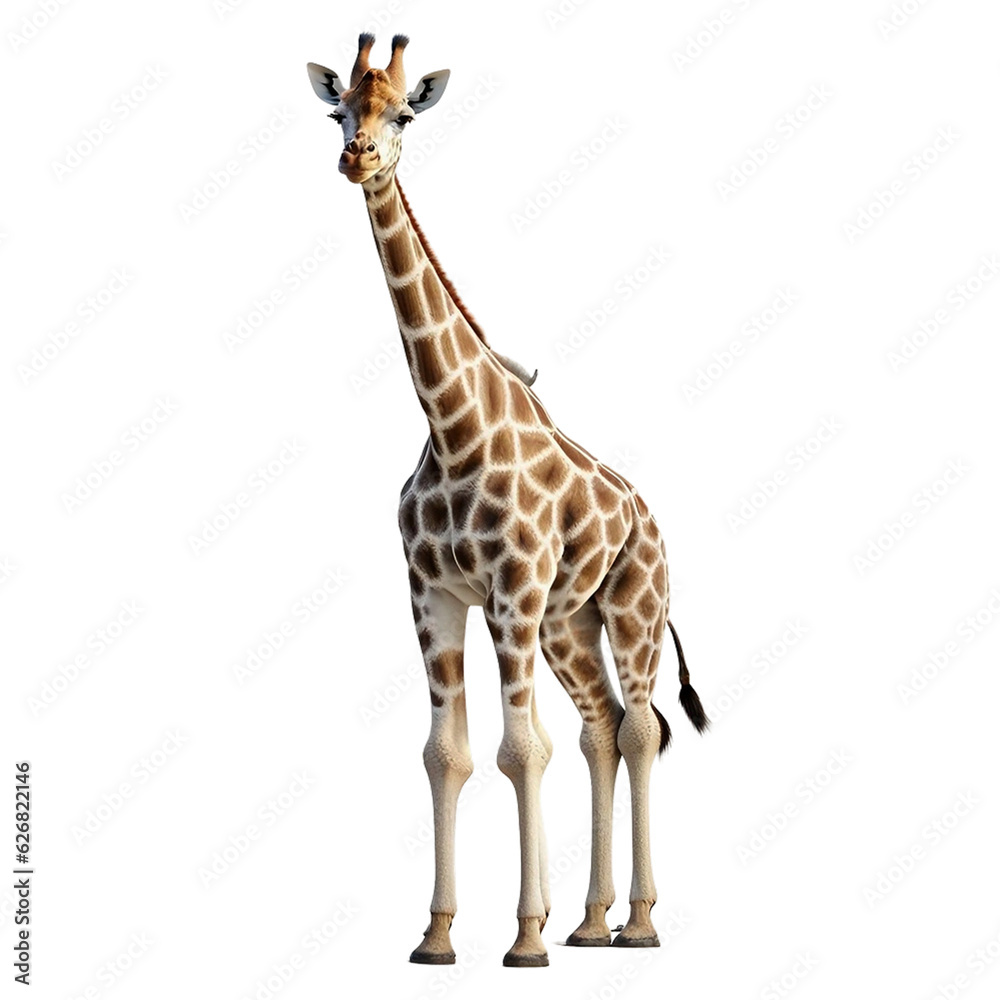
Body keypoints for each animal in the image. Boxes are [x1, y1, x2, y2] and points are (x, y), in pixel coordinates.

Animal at [307, 34, 708, 968]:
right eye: (339, 110)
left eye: (404, 115)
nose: (357, 158)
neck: (452, 426)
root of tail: (653, 521)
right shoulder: (434, 595)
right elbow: (444, 755)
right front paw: (438, 935)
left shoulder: (512, 592)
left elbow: (521, 750)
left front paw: (524, 939)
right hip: (570, 626)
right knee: (602, 726)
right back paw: (592, 923)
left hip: (630, 609)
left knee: (640, 728)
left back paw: (639, 923)